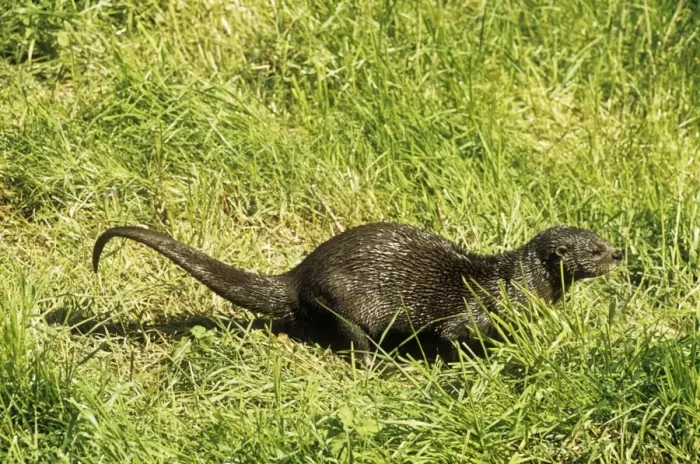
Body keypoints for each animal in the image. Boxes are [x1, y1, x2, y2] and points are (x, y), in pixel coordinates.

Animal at [92, 223, 622, 361]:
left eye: (603, 236)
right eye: (595, 249)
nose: (620, 253)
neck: (515, 283)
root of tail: (298, 274)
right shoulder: (471, 314)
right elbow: (456, 337)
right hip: (343, 298)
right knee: (353, 338)